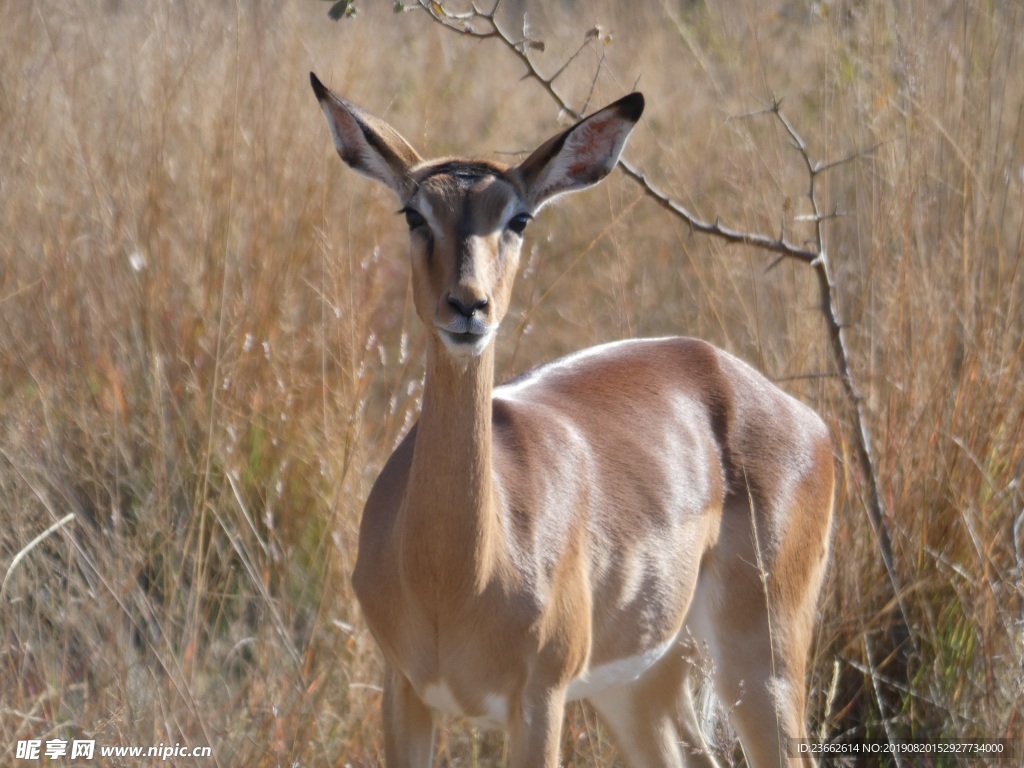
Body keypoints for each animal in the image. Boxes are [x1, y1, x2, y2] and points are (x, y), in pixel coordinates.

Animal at [309, 73, 831, 768]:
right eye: (414, 214)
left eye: (519, 218)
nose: (468, 306)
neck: (455, 576)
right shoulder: (404, 692)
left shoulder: (540, 700)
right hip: (639, 682)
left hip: (761, 659)